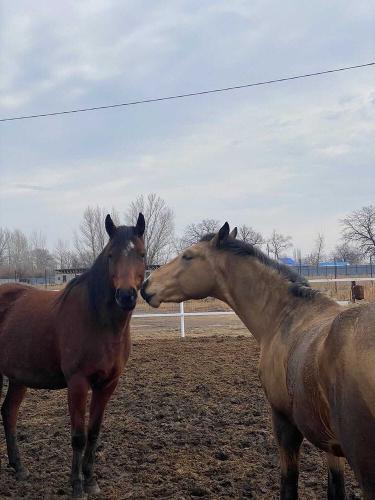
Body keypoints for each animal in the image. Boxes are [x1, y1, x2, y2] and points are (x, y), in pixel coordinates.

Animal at [0, 213, 146, 498]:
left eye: (142, 254)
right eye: (110, 255)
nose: (126, 296)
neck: (98, 321)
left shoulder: (107, 384)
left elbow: (93, 432)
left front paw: (90, 480)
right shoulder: (78, 383)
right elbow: (78, 436)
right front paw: (77, 486)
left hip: (18, 378)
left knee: (8, 413)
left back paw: (19, 468)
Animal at [142, 224, 375, 500]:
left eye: (188, 256)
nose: (146, 286)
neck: (287, 316)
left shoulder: (284, 423)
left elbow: (289, 484)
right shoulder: (329, 442)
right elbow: (335, 489)